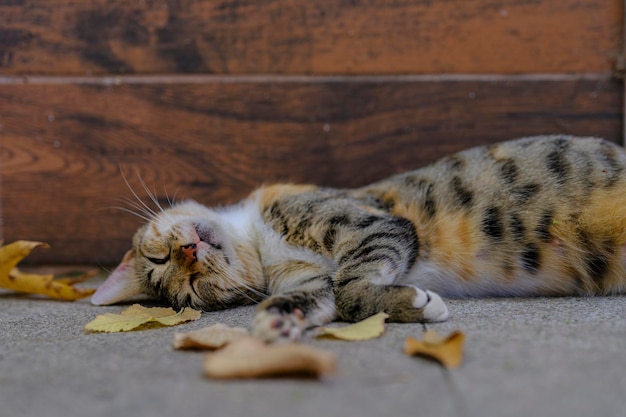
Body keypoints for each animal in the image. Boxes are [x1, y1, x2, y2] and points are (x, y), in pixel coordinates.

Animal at [91, 136, 624, 342]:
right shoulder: (310, 280)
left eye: (158, 257)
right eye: (191, 287)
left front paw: (418, 302)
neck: (261, 242)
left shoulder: (369, 225)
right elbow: (331, 296)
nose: (188, 251)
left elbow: (351, 289)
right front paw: (278, 321)